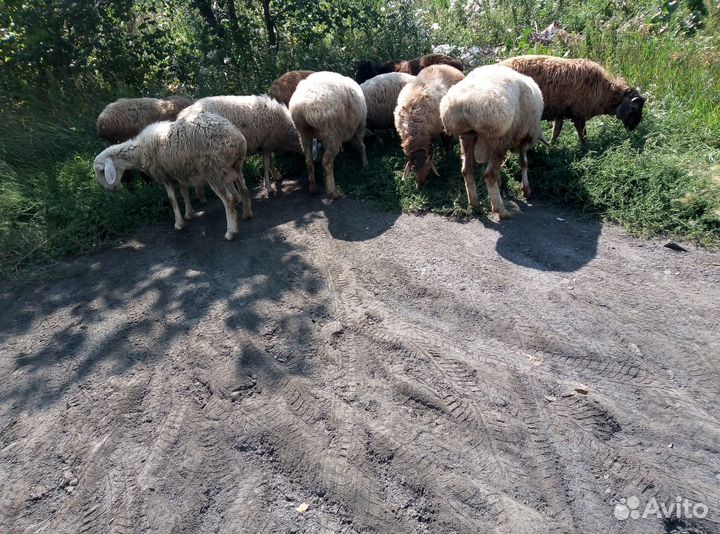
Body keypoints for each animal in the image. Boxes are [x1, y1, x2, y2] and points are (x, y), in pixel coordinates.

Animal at [93, 110, 250, 241]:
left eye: (102, 171)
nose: (113, 189)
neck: (139, 151)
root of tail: (234, 138)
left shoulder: (164, 175)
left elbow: (172, 199)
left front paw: (179, 223)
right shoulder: (179, 171)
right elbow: (184, 192)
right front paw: (189, 214)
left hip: (213, 171)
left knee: (228, 200)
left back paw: (230, 232)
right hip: (236, 165)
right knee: (244, 189)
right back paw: (247, 215)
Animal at [440, 65, 543, 219]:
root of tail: (464, 103)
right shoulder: (525, 136)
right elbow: (524, 162)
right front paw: (526, 189)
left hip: (467, 136)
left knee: (467, 169)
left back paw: (474, 202)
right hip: (499, 138)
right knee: (489, 175)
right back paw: (501, 209)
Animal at [500, 55, 645, 143]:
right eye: (634, 108)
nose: (634, 127)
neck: (605, 92)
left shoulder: (560, 113)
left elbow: (556, 131)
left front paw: (551, 145)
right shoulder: (579, 115)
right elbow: (583, 134)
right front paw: (586, 149)